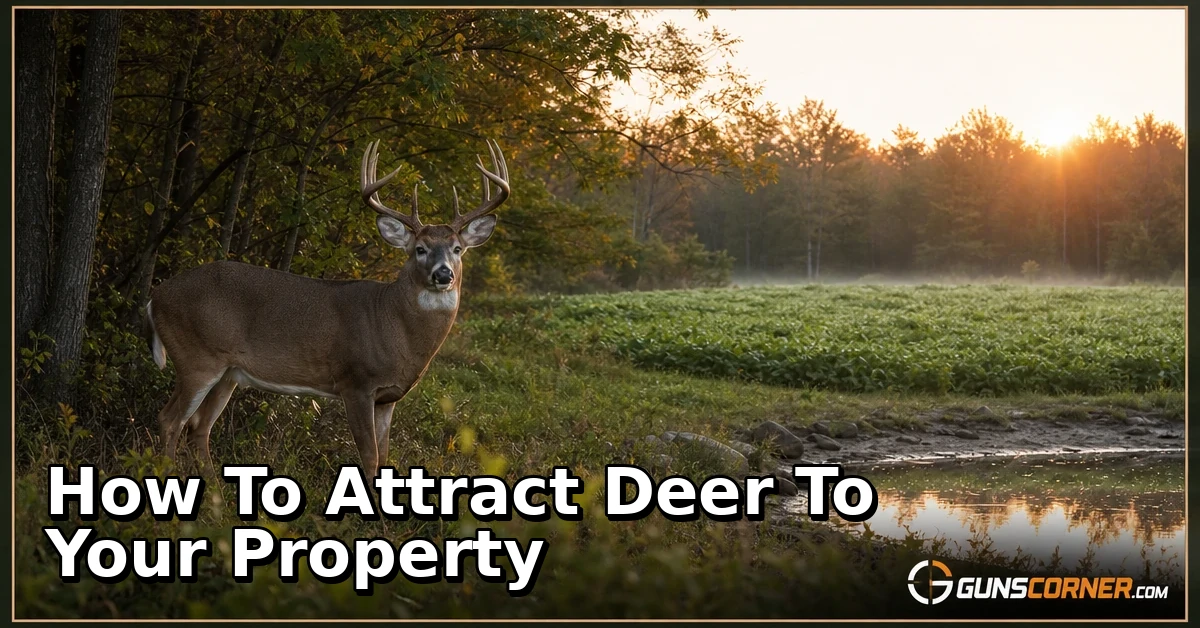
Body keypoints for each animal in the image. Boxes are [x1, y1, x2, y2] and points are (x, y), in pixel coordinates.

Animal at [143, 139, 510, 478]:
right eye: (419, 249)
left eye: (458, 249)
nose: (443, 274)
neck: (394, 326)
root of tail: (154, 297)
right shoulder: (355, 381)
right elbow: (370, 458)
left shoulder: (387, 398)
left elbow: (385, 458)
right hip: (197, 357)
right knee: (171, 419)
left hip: (228, 372)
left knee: (199, 427)